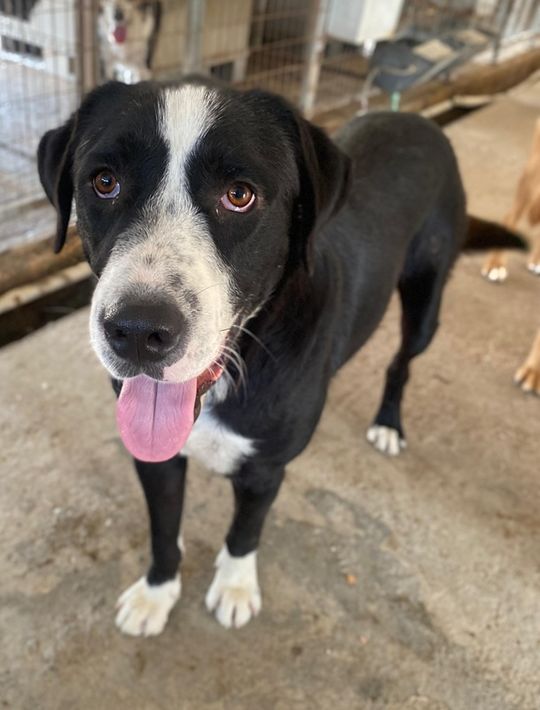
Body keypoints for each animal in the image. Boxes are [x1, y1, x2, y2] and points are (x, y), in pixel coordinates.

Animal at [37, 79, 526, 636]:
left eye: (239, 195)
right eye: (104, 182)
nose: (138, 332)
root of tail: (421, 121)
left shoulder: (265, 470)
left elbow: (245, 532)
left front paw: (234, 587)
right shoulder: (155, 461)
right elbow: (163, 530)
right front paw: (156, 593)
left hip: (425, 304)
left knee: (402, 362)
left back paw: (388, 423)